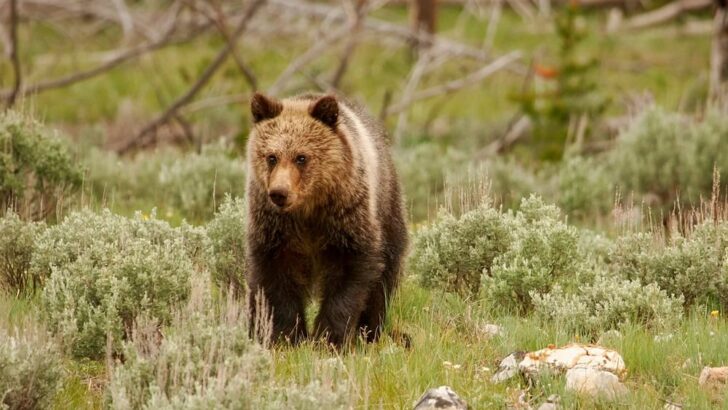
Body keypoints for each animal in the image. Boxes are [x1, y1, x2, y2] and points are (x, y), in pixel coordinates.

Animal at [245, 92, 408, 347]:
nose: (279, 193)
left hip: (387, 209)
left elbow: (351, 273)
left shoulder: (346, 218)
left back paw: (372, 332)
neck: (308, 210)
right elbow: (275, 280)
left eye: (301, 157)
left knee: (384, 279)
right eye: (271, 157)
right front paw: (287, 336)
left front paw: (329, 337)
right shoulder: (274, 227)